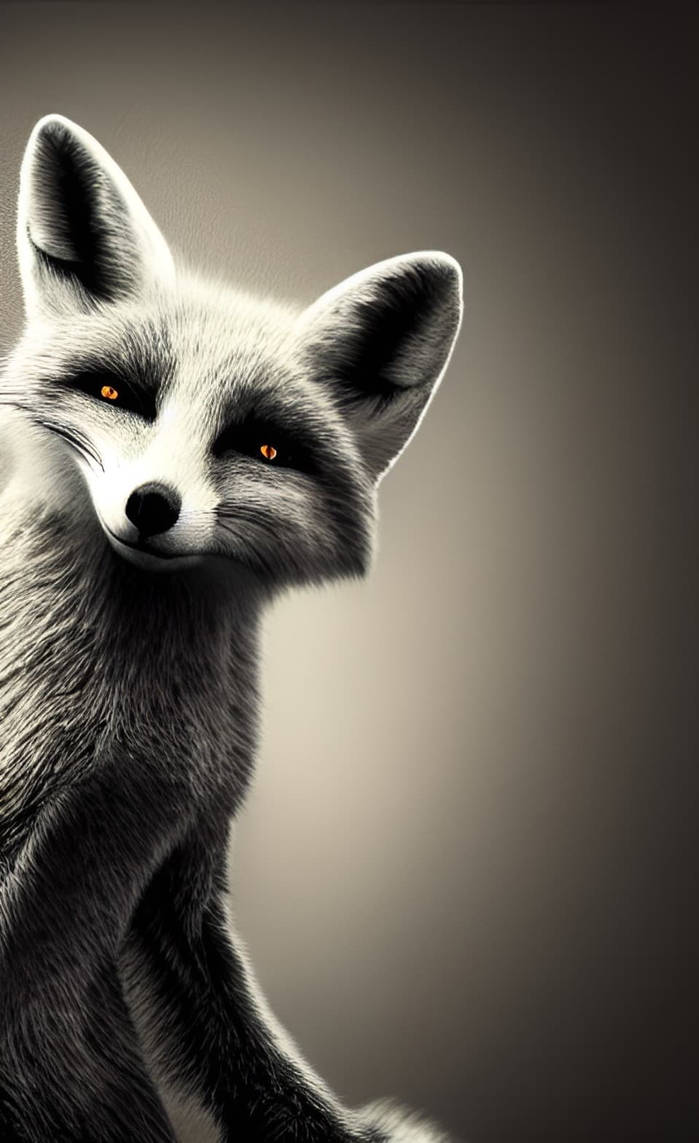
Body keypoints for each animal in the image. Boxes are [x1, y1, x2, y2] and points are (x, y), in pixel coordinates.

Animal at [0, 114, 463, 1143]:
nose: (152, 504)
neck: (124, 736)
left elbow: (248, 1053)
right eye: (116, 395)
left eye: (260, 447)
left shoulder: (183, 873)